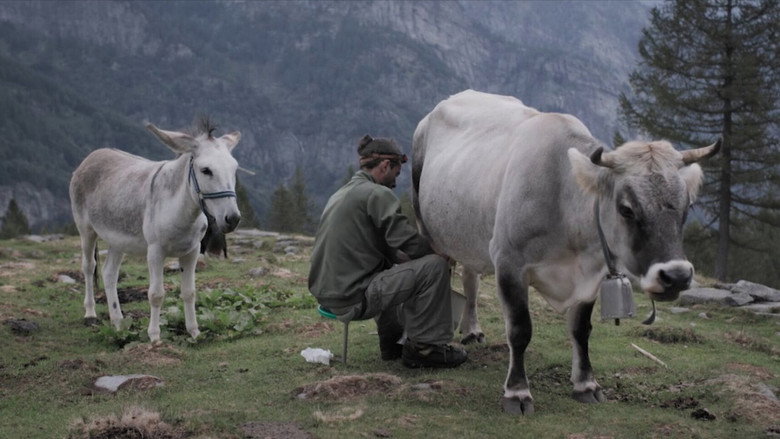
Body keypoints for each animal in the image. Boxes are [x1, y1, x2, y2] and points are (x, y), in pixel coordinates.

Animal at [411, 90, 719, 414]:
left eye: (687, 207)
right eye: (626, 209)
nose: (676, 276)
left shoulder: (591, 274)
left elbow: (581, 329)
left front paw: (586, 384)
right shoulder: (509, 262)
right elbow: (520, 330)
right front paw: (517, 392)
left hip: (472, 236)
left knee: (470, 279)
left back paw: (471, 330)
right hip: (427, 229)